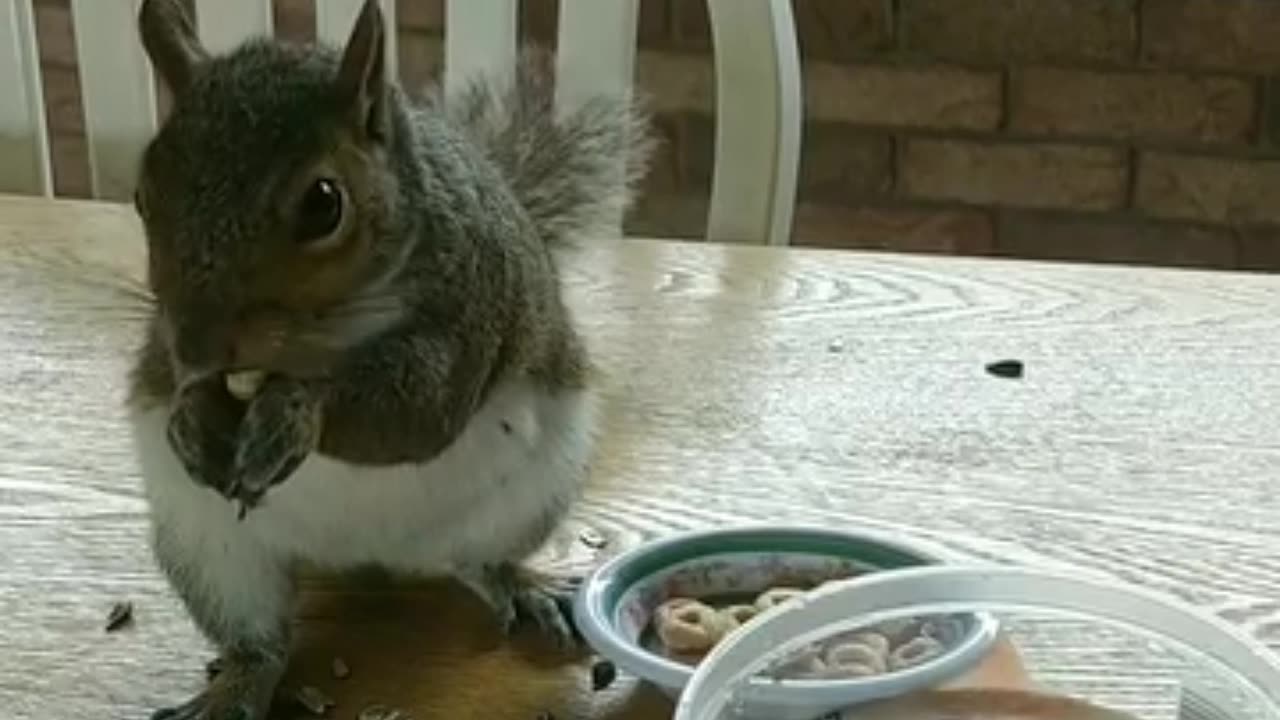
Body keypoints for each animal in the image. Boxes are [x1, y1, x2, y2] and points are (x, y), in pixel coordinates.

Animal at [126, 1, 655, 717]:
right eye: (143, 195)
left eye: (324, 204)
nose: (196, 347)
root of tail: (364, 554)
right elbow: (173, 387)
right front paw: (189, 419)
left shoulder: (468, 310)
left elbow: (414, 417)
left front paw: (295, 414)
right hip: (208, 549)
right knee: (258, 643)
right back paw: (232, 689)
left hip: (530, 494)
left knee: (472, 560)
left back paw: (521, 587)